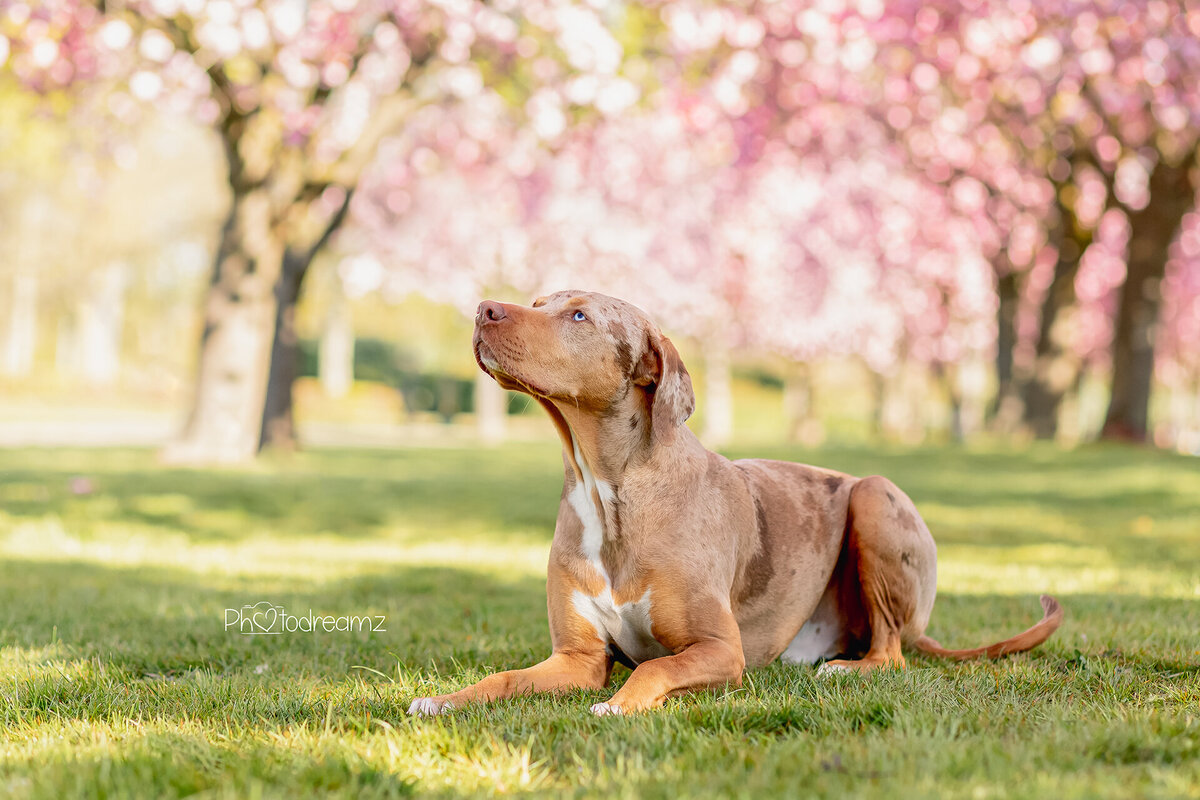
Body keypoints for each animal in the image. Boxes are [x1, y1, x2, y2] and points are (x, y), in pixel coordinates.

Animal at [408, 291, 1065, 714]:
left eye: (578, 315)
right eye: (536, 300)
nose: (484, 308)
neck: (608, 490)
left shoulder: (721, 651)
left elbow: (656, 664)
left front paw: (620, 705)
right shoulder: (576, 660)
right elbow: (503, 677)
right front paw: (445, 698)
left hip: (876, 497)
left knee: (893, 653)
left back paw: (852, 667)